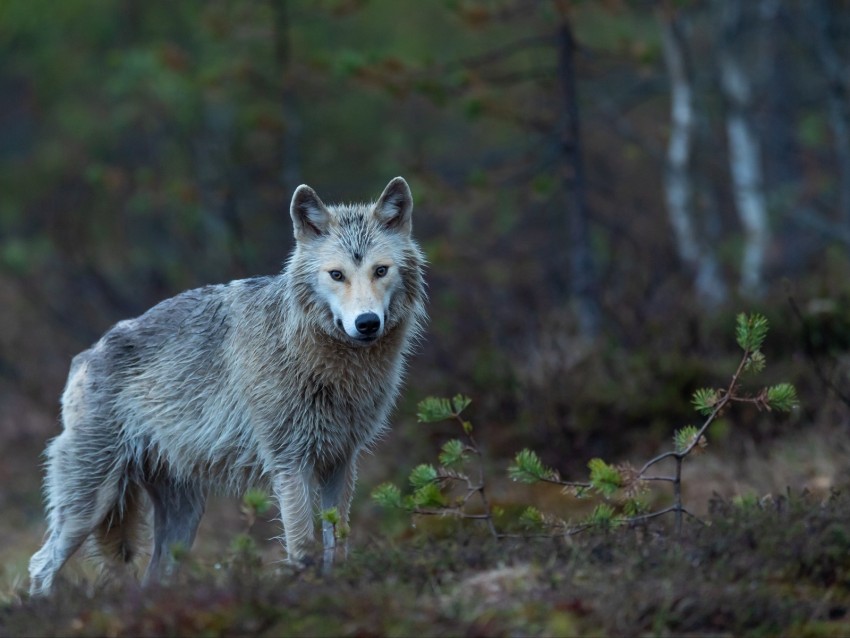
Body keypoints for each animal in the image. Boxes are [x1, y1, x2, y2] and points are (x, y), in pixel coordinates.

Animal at [29, 178, 428, 596]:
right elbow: (302, 546)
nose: (367, 323)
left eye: (380, 270)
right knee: (40, 564)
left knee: (152, 575)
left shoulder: (341, 462)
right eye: (337, 275)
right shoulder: (290, 463)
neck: (323, 362)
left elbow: (339, 541)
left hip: (183, 517)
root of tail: (85, 355)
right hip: (91, 503)